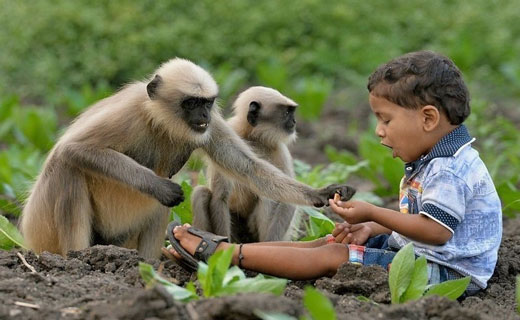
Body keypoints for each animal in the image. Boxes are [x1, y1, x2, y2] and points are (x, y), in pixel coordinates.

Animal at [193, 86, 304, 241]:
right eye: (287, 112)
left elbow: (287, 199)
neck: (253, 137)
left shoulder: (280, 150)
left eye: (292, 112)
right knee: (201, 193)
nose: (294, 121)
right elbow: (220, 197)